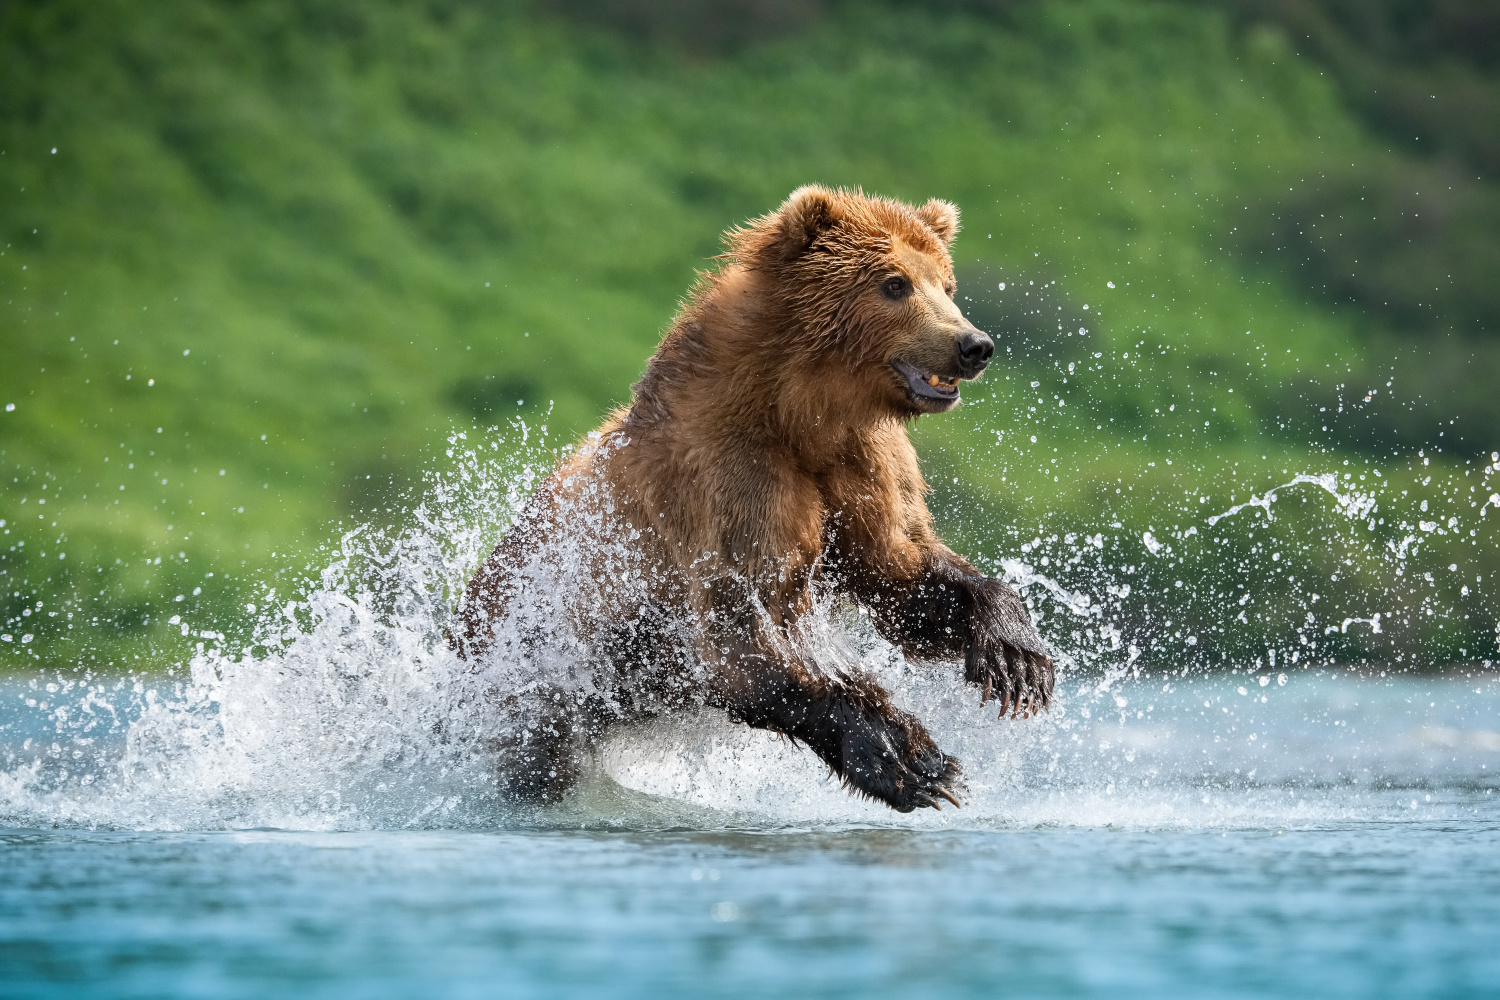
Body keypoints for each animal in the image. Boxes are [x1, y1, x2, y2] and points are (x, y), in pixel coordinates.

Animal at [453, 185, 1056, 815]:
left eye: (947, 283)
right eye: (894, 283)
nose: (974, 345)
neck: (800, 414)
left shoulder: (864, 462)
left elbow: (900, 572)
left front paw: (1016, 657)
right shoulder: (727, 483)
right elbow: (740, 635)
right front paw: (909, 757)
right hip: (533, 668)